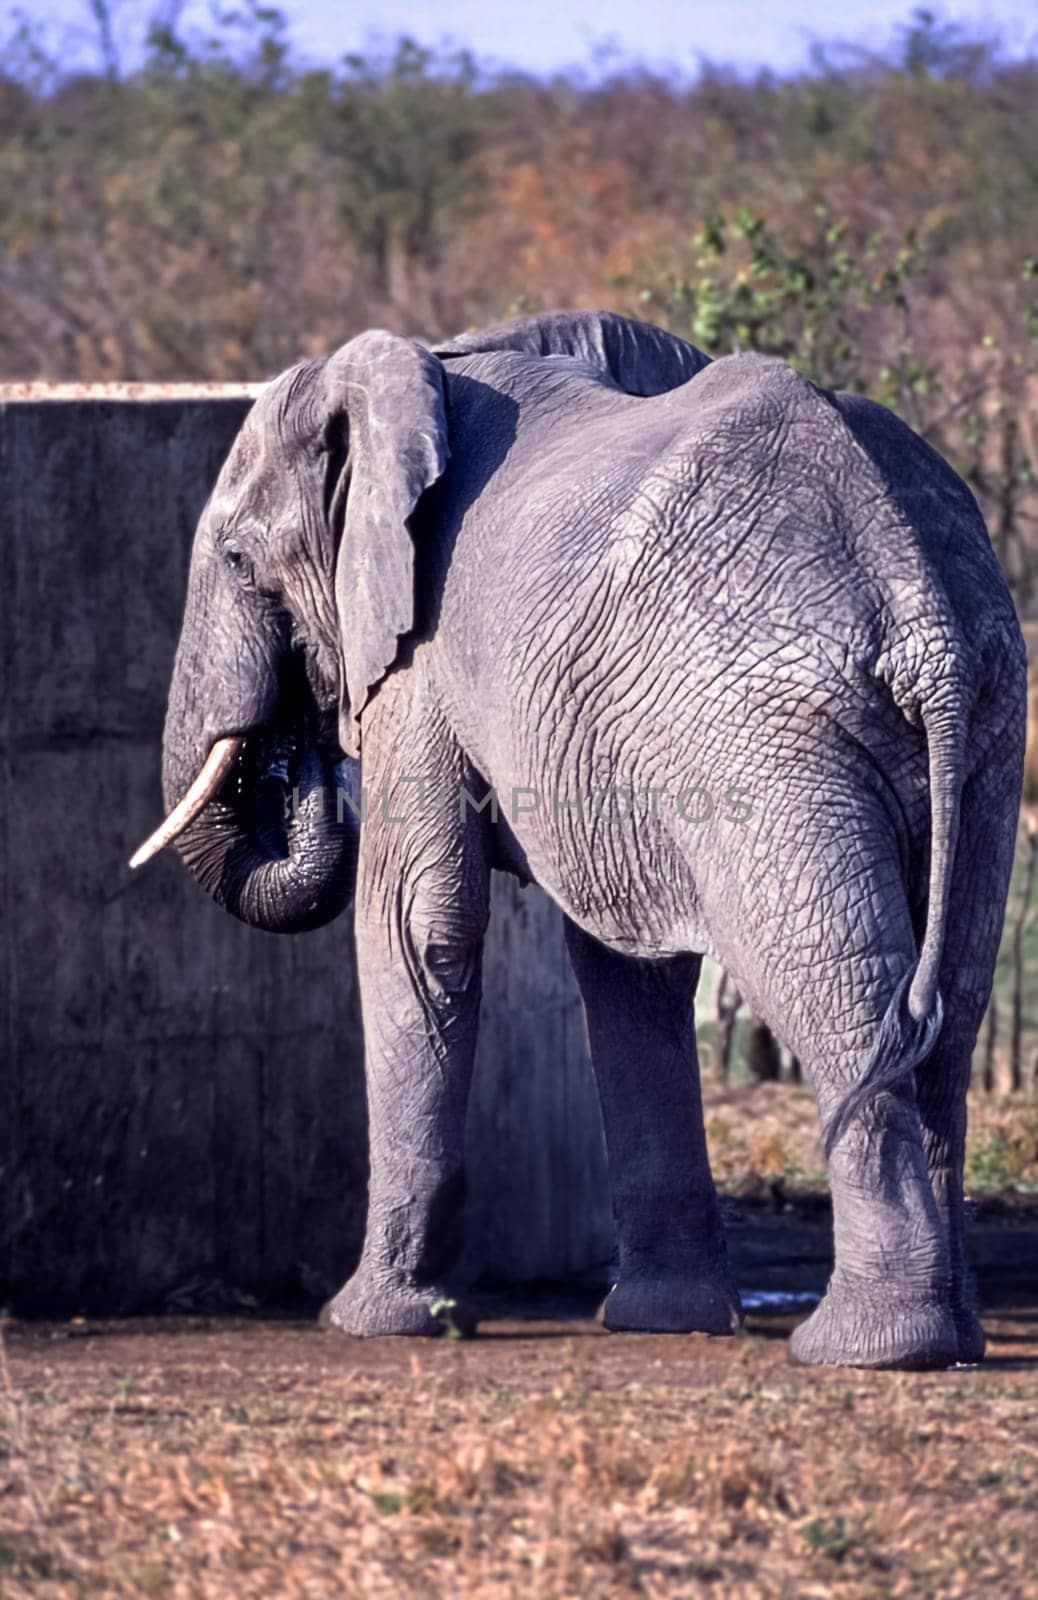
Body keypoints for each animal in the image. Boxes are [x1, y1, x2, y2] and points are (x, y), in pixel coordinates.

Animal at [133, 308, 1023, 1363]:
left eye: (236, 561)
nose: (300, 747)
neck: (438, 364)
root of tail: (920, 608)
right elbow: (627, 966)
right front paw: (666, 1320)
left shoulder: (424, 660)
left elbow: (415, 926)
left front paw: (369, 1322)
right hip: (989, 725)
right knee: (954, 998)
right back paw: (952, 1336)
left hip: (768, 739)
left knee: (835, 985)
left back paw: (868, 1347)